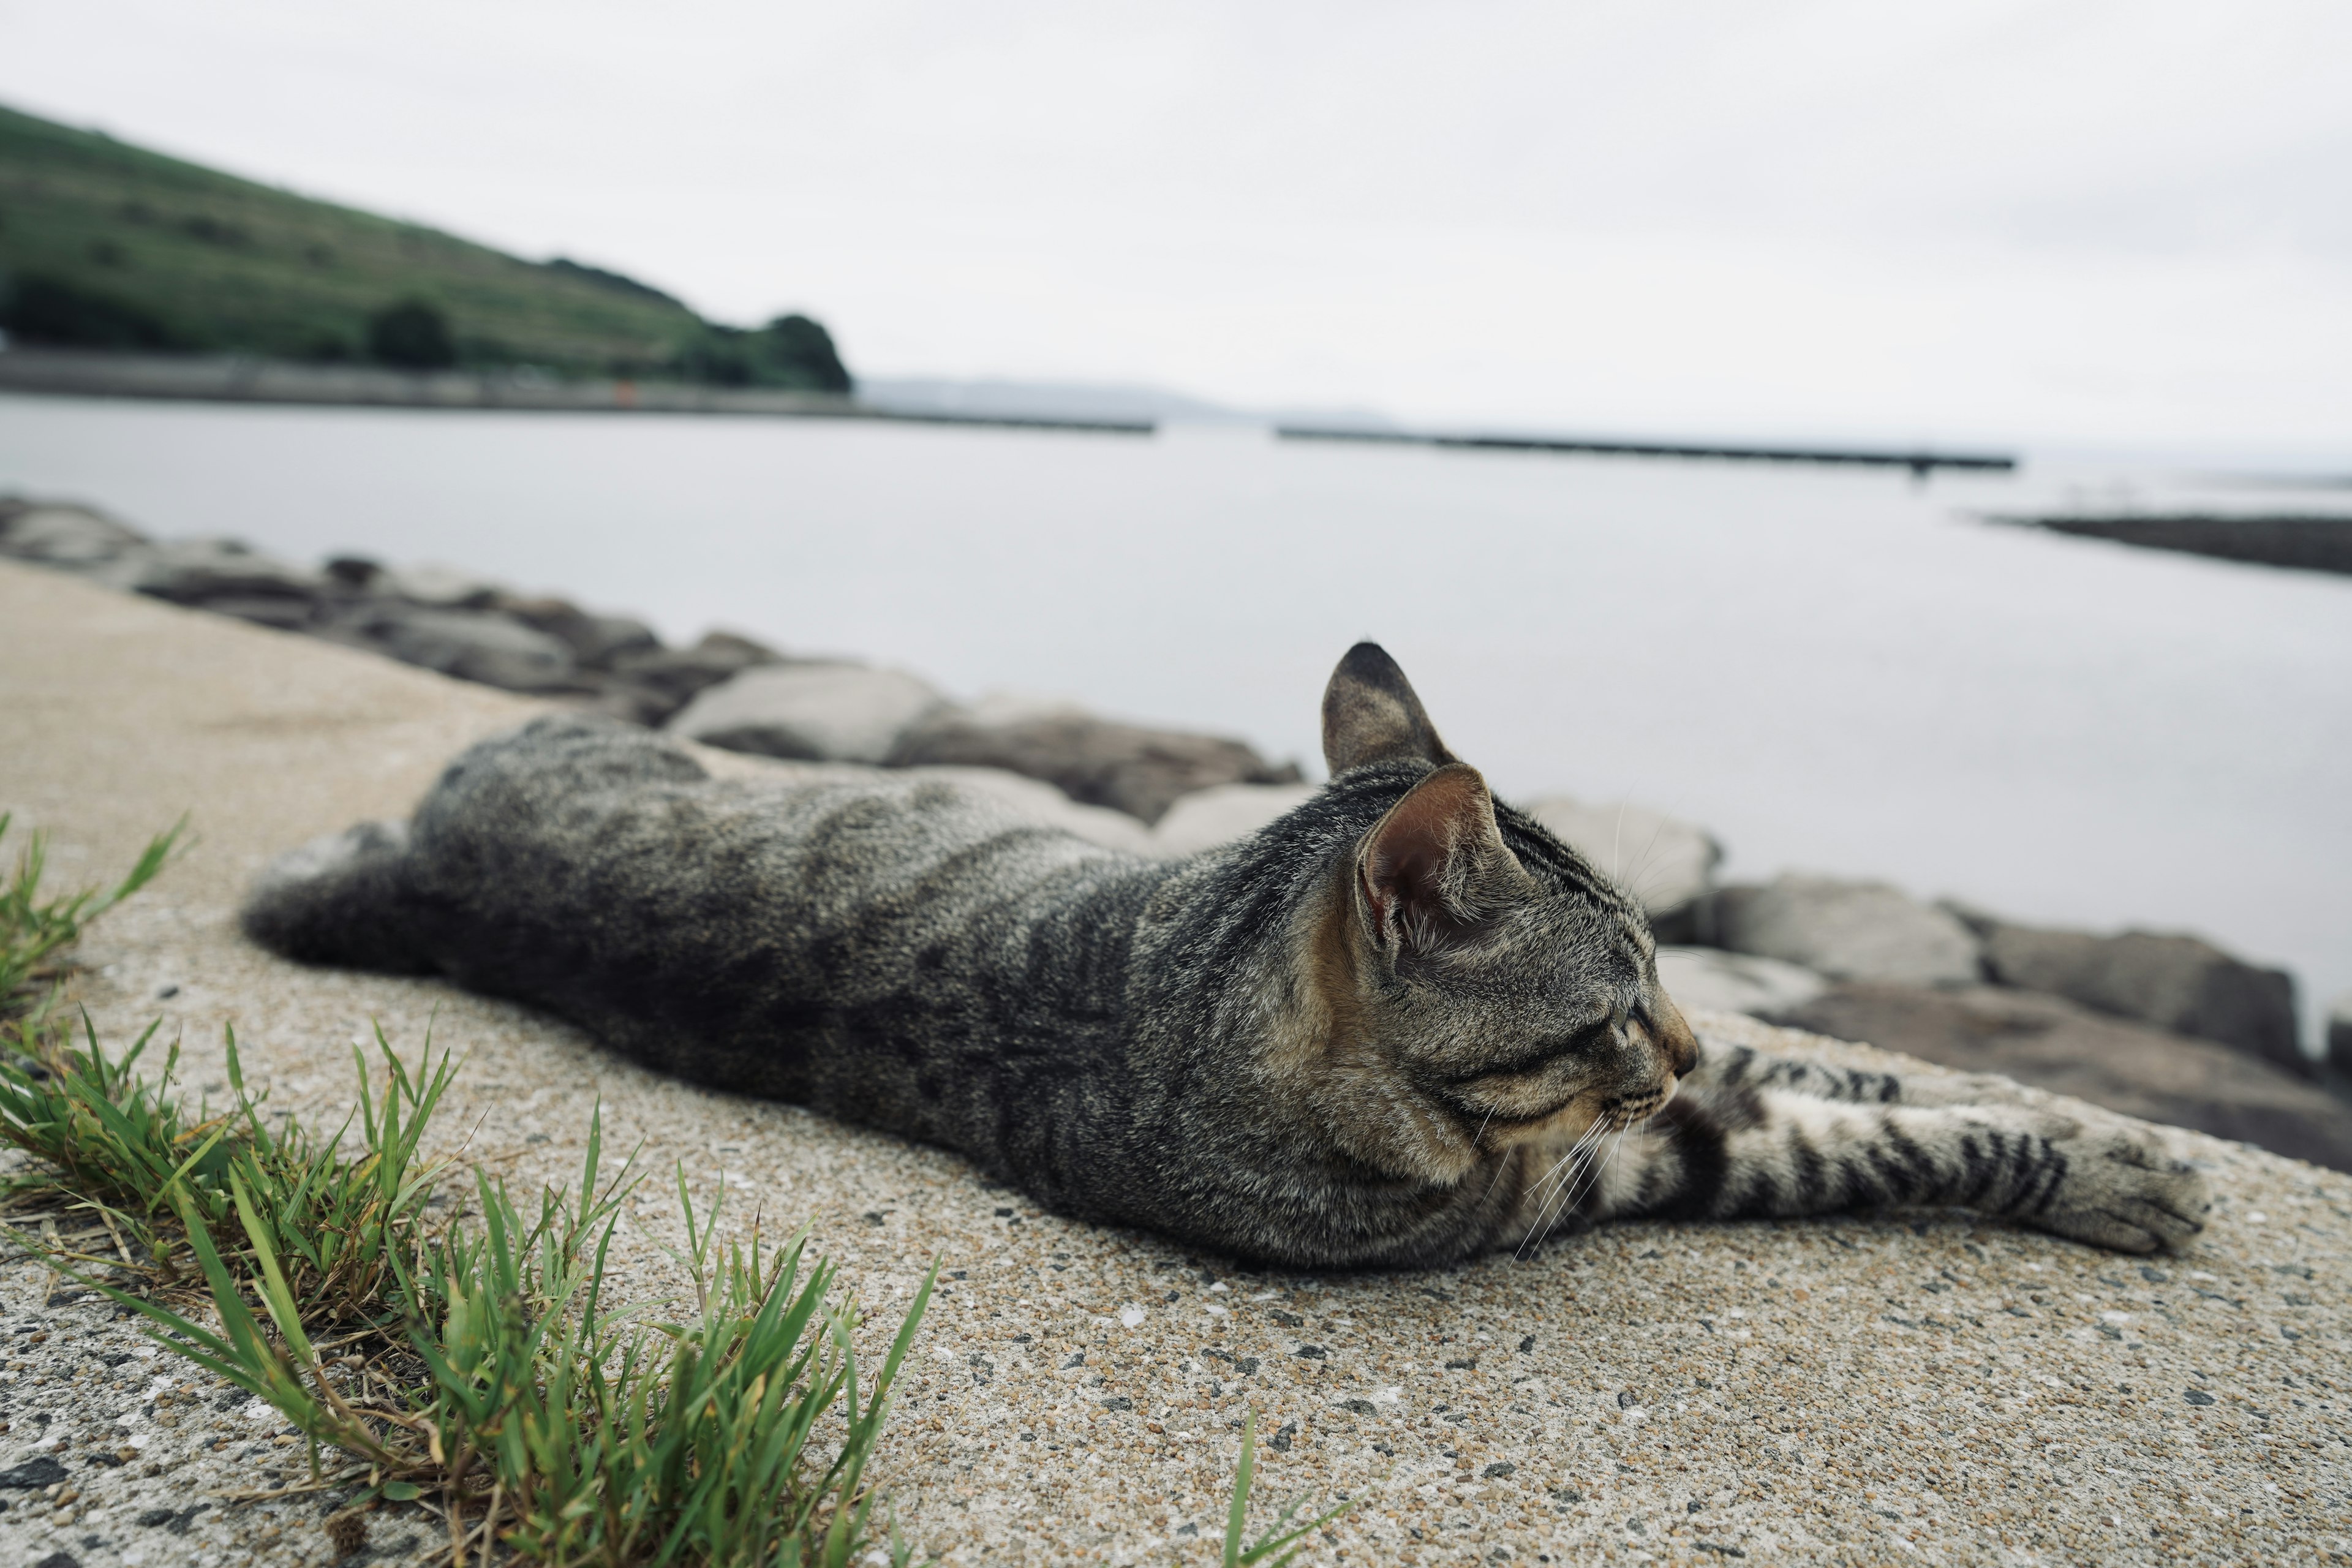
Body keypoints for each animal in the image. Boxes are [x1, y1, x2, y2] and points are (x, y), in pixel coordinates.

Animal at [238, 644, 2201, 1269]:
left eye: (1669, 967)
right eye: (1611, 1001)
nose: (1679, 1034)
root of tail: (438, 856)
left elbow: (1860, 1065)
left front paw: (2061, 1100)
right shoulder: (1623, 1157)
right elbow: (1879, 1134)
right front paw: (2106, 1167)